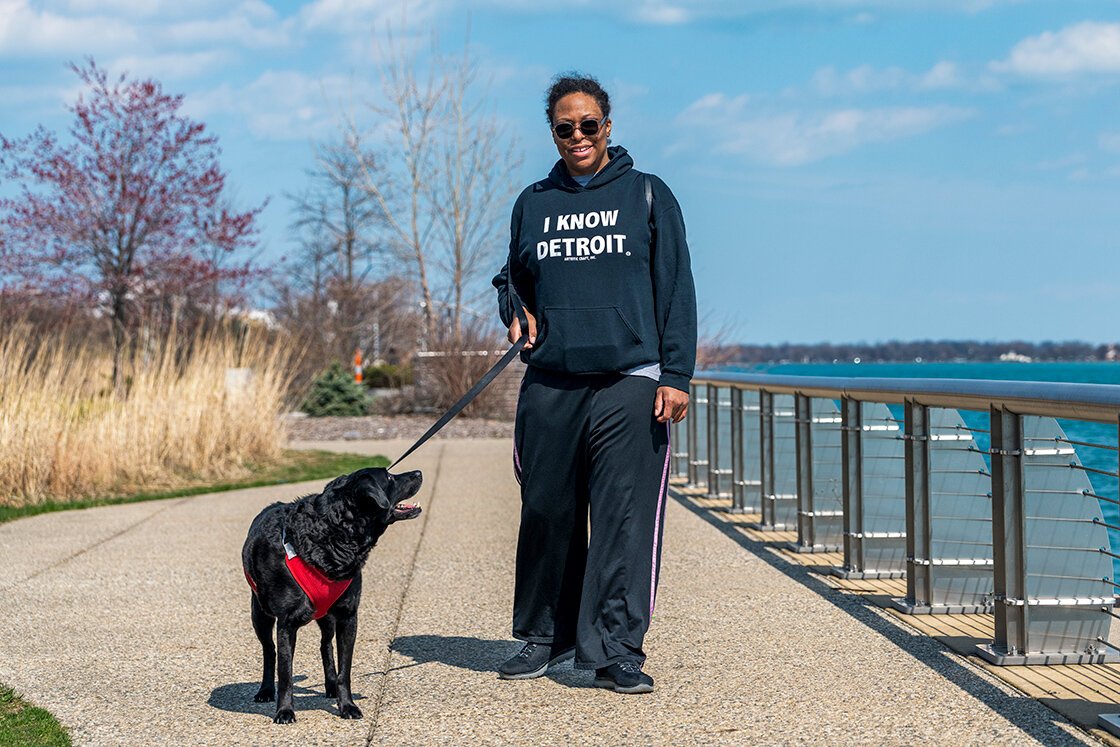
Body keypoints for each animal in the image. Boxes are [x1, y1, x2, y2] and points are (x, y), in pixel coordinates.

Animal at [243, 468, 421, 725]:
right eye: (388, 478)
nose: (418, 472)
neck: (333, 536)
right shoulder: (286, 624)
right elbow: (285, 673)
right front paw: (284, 711)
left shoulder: (348, 617)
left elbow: (344, 670)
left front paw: (347, 705)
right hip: (260, 614)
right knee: (270, 651)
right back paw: (266, 690)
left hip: (326, 616)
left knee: (325, 645)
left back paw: (330, 686)